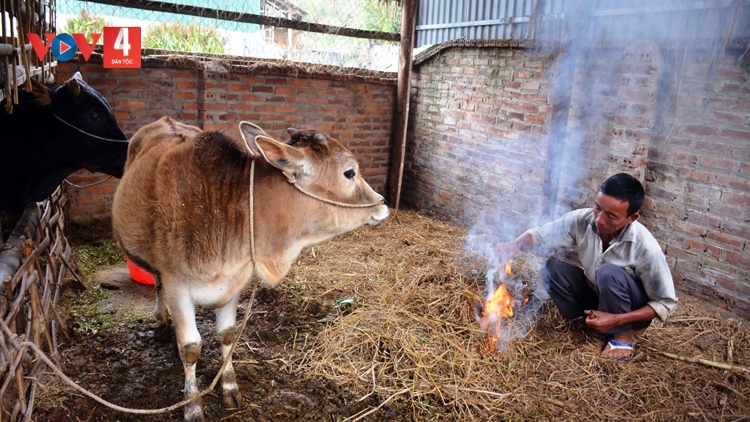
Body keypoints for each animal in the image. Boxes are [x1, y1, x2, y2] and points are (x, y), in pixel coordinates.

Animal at [114, 116, 390, 422]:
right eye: (350, 172)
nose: (382, 203)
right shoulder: (178, 286)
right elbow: (190, 347)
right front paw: (193, 405)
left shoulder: (235, 282)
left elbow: (227, 335)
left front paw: (230, 388)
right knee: (157, 285)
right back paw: (163, 322)